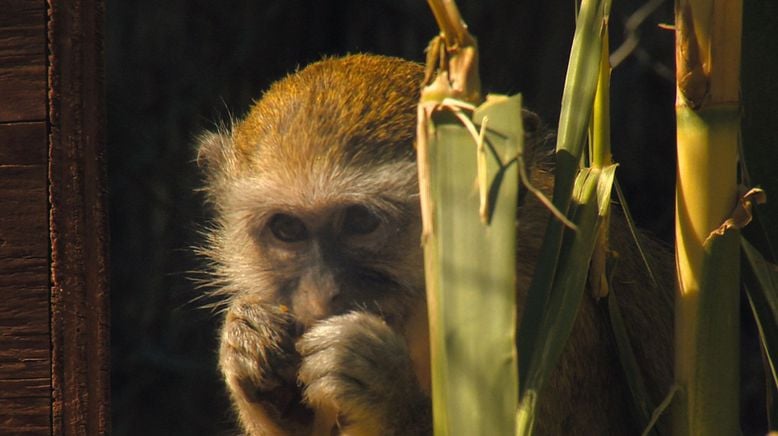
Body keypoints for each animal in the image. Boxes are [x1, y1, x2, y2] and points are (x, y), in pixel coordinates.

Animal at [199, 54, 672, 436]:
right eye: (287, 229)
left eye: (360, 222)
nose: (322, 294)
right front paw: (250, 347)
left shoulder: (556, 302)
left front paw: (390, 395)